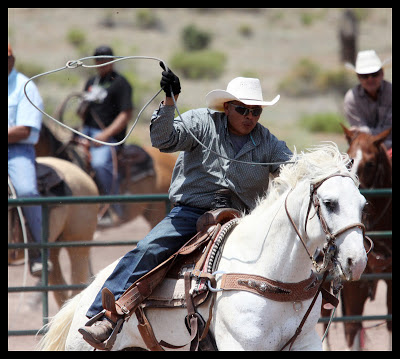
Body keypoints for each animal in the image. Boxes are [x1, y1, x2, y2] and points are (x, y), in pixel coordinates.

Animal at [39, 143, 368, 352]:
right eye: (330, 203)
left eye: (363, 204)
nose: (358, 261)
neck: (271, 274)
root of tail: (84, 298)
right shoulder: (240, 345)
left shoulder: (304, 342)